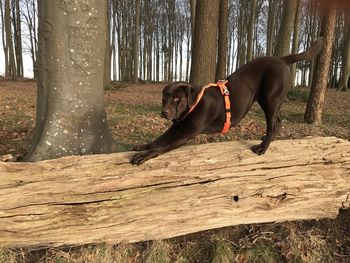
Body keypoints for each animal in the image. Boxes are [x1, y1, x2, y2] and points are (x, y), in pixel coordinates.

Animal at [130, 37, 324, 165]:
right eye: (165, 97)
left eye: (177, 98)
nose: (165, 112)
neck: (193, 104)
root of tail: (280, 59)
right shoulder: (177, 127)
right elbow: (158, 140)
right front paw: (141, 146)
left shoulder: (185, 133)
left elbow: (162, 146)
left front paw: (143, 156)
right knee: (278, 121)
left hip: (270, 99)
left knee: (274, 123)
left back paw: (262, 147)